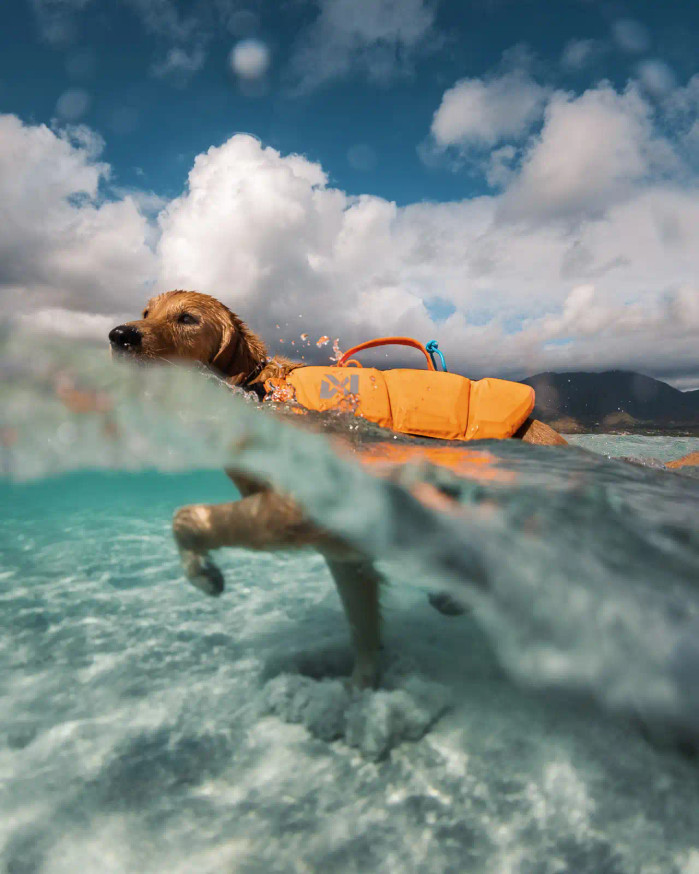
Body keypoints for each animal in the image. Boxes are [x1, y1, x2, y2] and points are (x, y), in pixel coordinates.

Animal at [106, 290, 576, 684]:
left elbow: (186, 517)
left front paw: (202, 573)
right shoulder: (343, 546)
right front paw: (361, 690)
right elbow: (361, 626)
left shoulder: (300, 508)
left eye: (187, 318)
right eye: (145, 312)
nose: (119, 336)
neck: (256, 392)